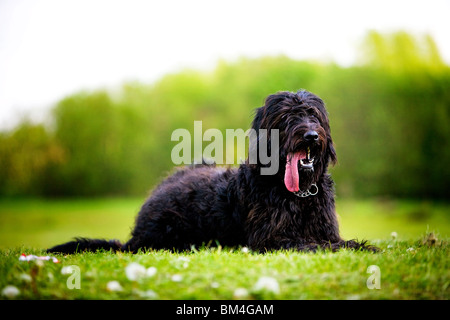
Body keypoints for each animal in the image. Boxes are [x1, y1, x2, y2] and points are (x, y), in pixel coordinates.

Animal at [47, 89, 374, 252]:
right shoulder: (270, 240)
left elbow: (338, 242)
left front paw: (363, 246)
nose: (311, 136)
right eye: (286, 117)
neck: (297, 194)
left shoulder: (325, 230)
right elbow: (316, 245)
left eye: (313, 114)